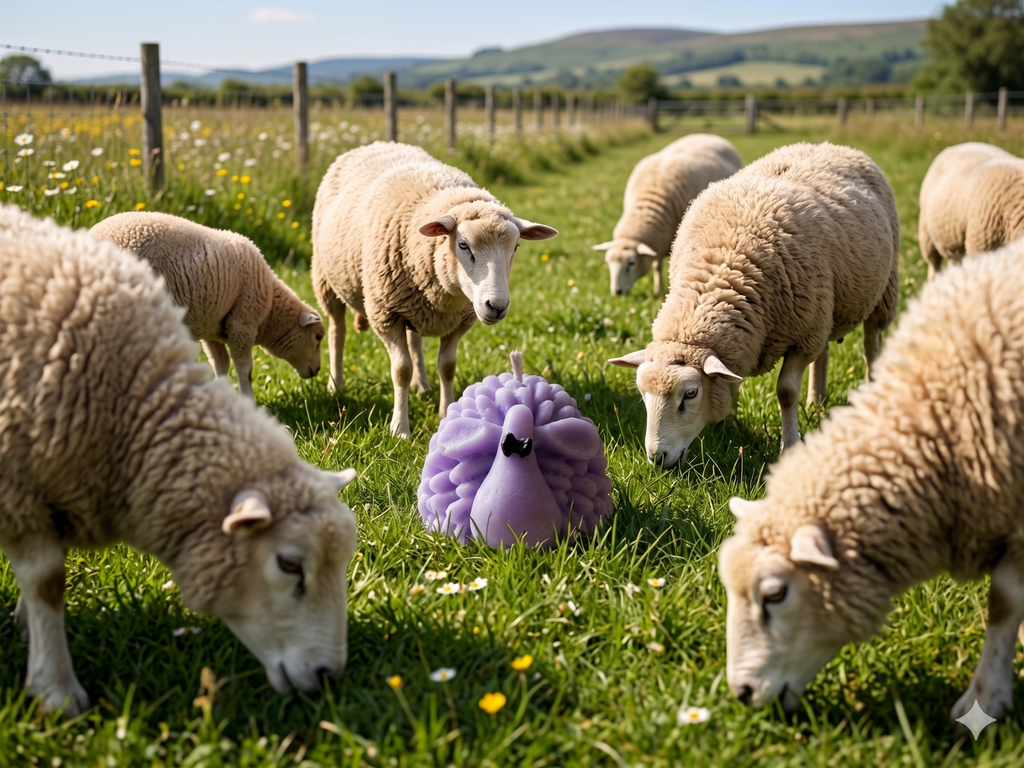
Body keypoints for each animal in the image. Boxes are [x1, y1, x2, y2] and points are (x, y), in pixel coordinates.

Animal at [91, 212, 325, 399]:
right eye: (318, 337)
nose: (318, 370)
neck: (270, 312)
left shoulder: (213, 330)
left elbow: (220, 365)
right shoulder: (242, 323)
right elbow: (245, 369)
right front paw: (248, 400)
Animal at [312, 141, 557, 438]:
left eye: (516, 247)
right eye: (463, 245)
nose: (497, 306)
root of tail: (375, 143)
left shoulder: (458, 320)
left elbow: (448, 367)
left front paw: (446, 413)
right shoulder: (386, 314)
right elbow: (401, 371)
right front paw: (400, 429)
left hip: (411, 304)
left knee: (414, 340)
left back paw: (423, 386)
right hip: (326, 278)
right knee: (337, 331)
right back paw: (336, 385)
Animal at [592, 133, 742, 296]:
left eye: (631, 263)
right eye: (608, 262)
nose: (617, 292)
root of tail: (708, 136)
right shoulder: (657, 243)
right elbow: (656, 266)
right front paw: (658, 289)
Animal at [609, 142, 899, 467]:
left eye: (691, 393)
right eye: (642, 393)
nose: (657, 458)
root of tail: (830, 145)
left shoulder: (801, 338)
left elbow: (786, 392)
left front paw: (789, 446)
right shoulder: (799, 328)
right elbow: (730, 384)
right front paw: (729, 427)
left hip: (881, 289)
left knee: (871, 343)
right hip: (825, 308)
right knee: (824, 352)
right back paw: (816, 401)